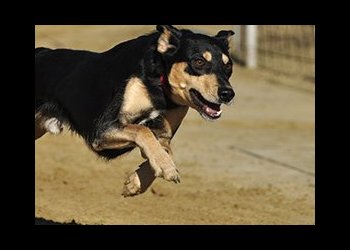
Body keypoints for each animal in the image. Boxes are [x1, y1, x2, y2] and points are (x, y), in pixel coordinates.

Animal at [34, 25, 235, 197]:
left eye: (228, 65)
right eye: (199, 61)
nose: (228, 94)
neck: (159, 85)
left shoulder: (163, 134)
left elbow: (163, 148)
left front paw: (137, 182)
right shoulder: (102, 130)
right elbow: (143, 130)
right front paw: (167, 168)